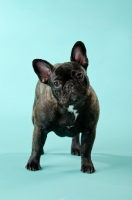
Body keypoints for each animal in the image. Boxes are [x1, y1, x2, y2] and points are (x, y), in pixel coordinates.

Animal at [25, 41, 99, 173]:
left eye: (79, 75)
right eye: (56, 83)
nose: (70, 85)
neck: (70, 106)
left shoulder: (90, 130)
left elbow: (86, 151)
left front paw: (87, 165)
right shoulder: (39, 128)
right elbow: (36, 146)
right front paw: (33, 162)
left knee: (75, 135)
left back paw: (76, 147)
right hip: (34, 118)